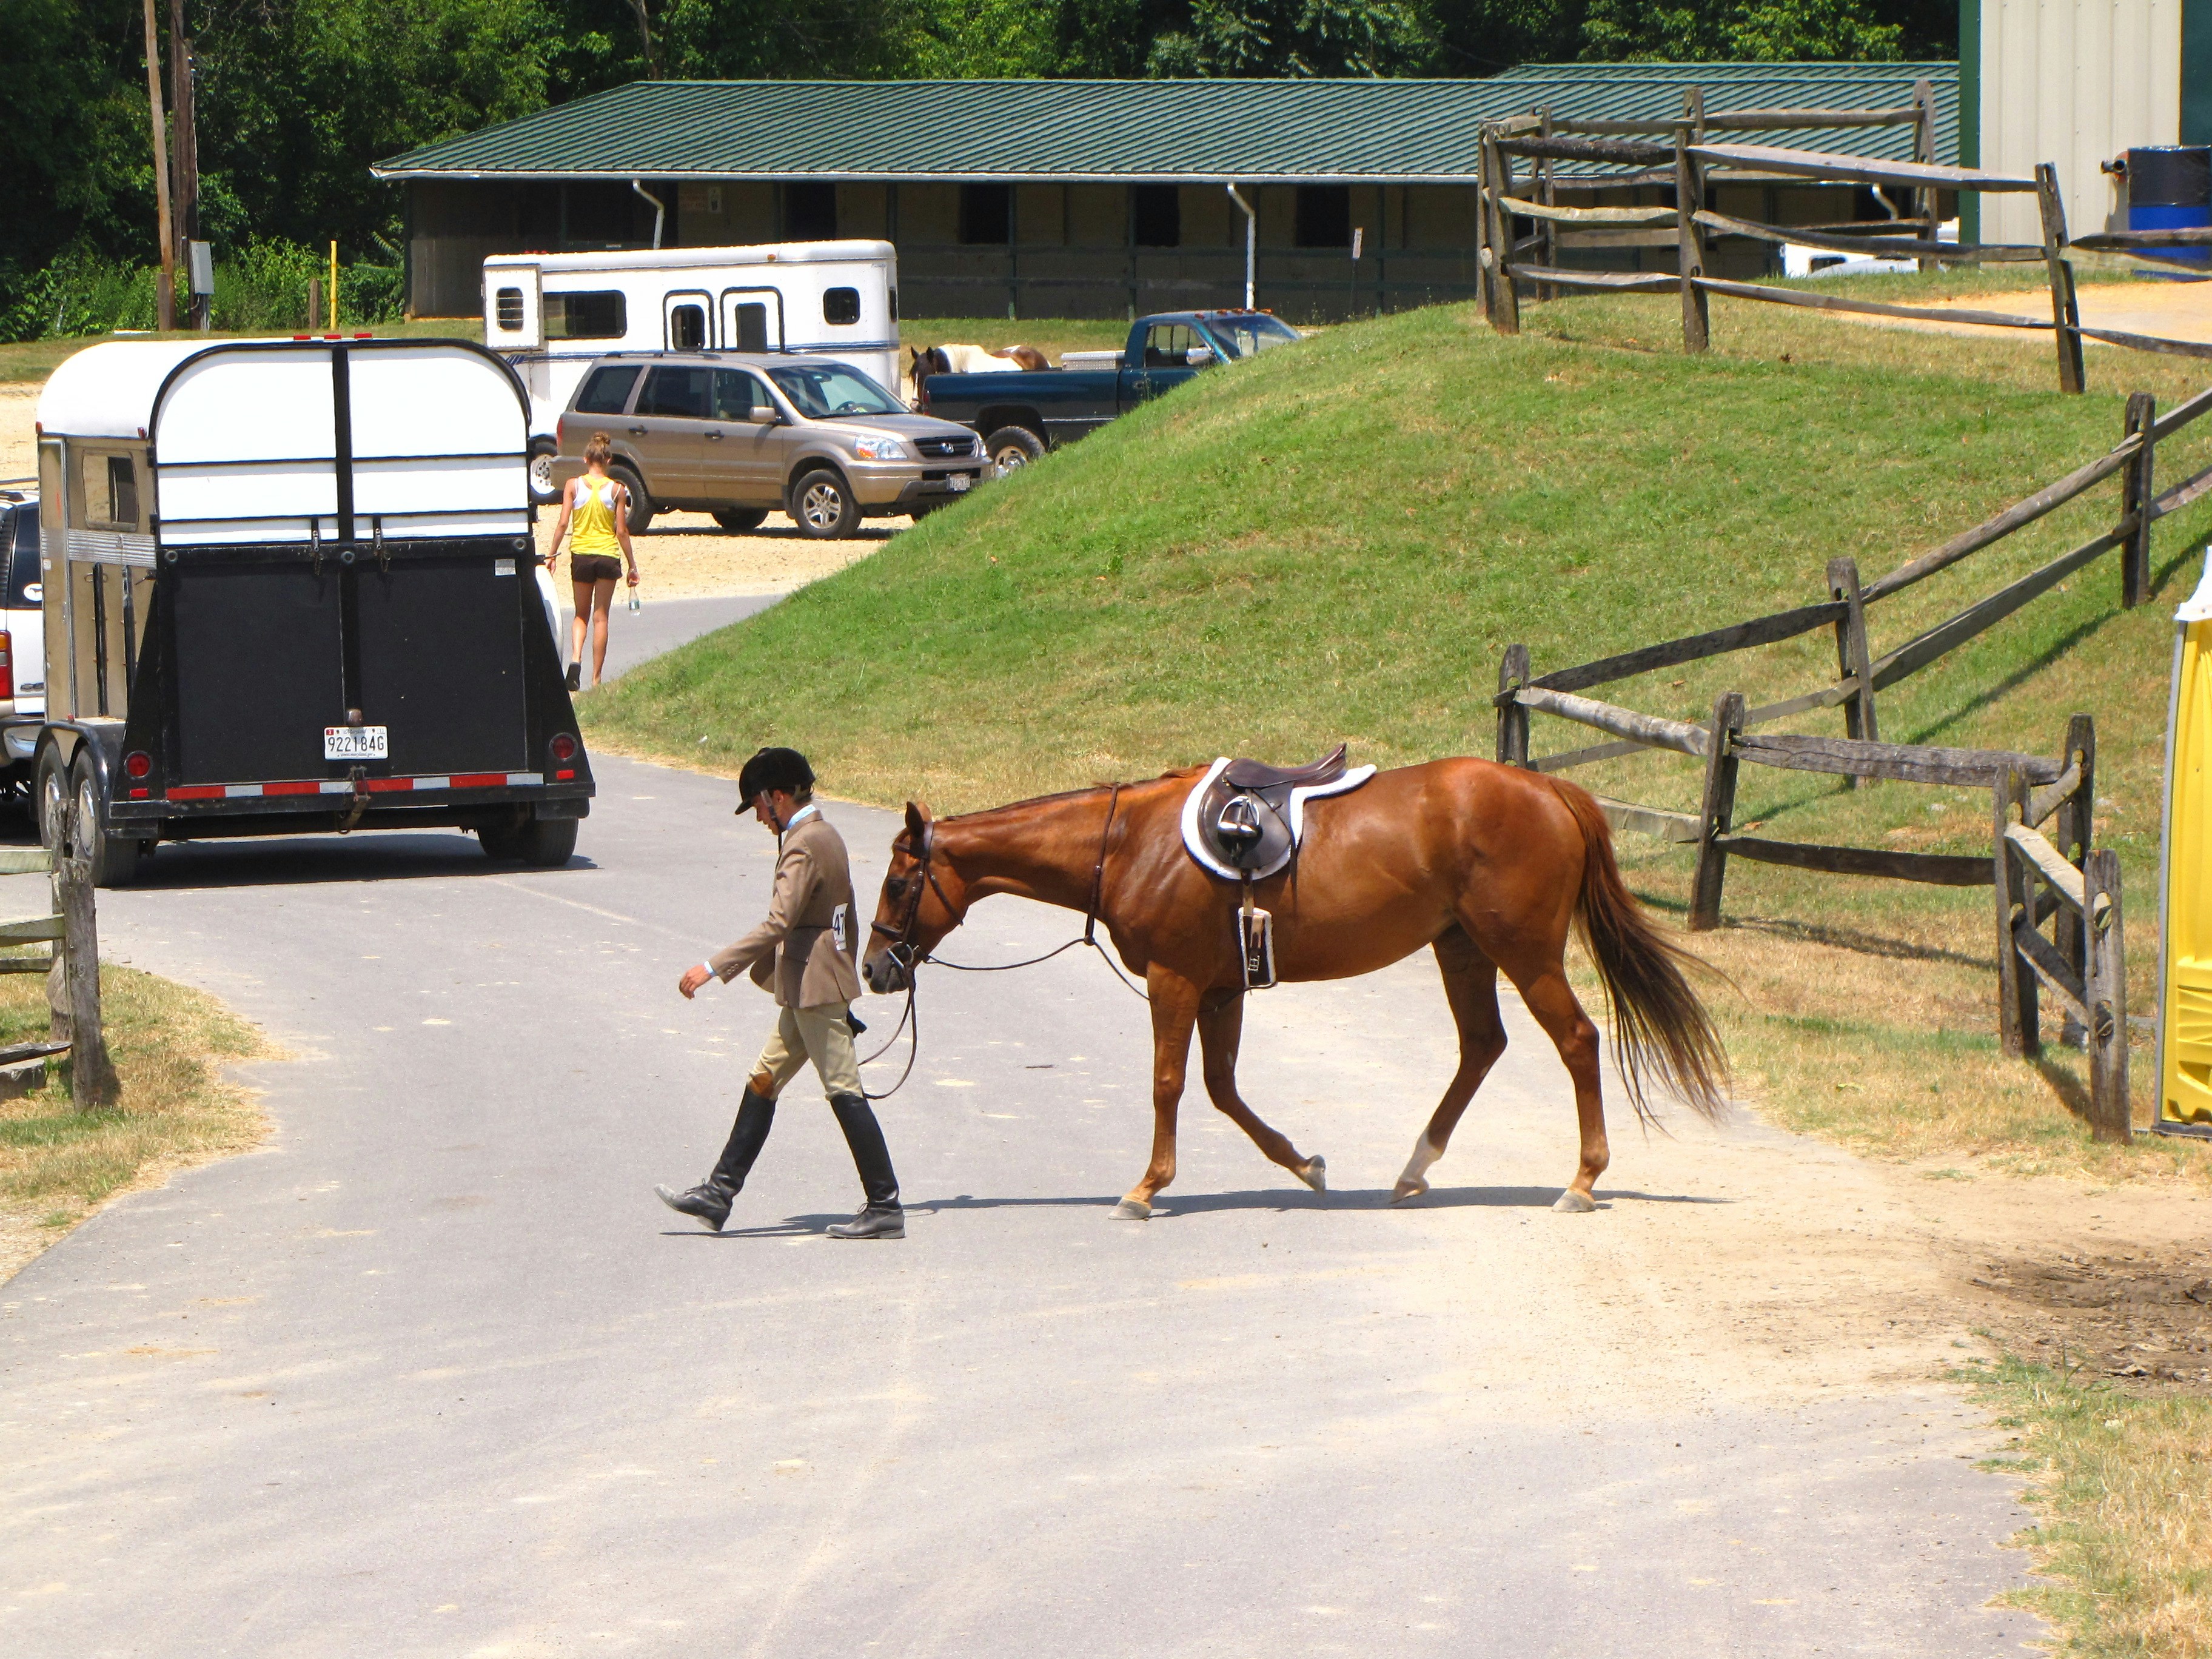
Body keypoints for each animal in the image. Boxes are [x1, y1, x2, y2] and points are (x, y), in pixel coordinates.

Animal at [861, 758, 1728, 1220]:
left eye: (900, 882)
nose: (873, 969)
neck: (1129, 842)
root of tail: (1549, 791)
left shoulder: (1177, 982)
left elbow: (1169, 1084)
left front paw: (1146, 1188)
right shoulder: (1222, 989)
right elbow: (1221, 1090)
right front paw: (1304, 1164)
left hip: (1521, 951)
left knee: (1577, 1041)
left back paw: (1582, 1180)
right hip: (1461, 949)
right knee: (1482, 1046)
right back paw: (1414, 1169)